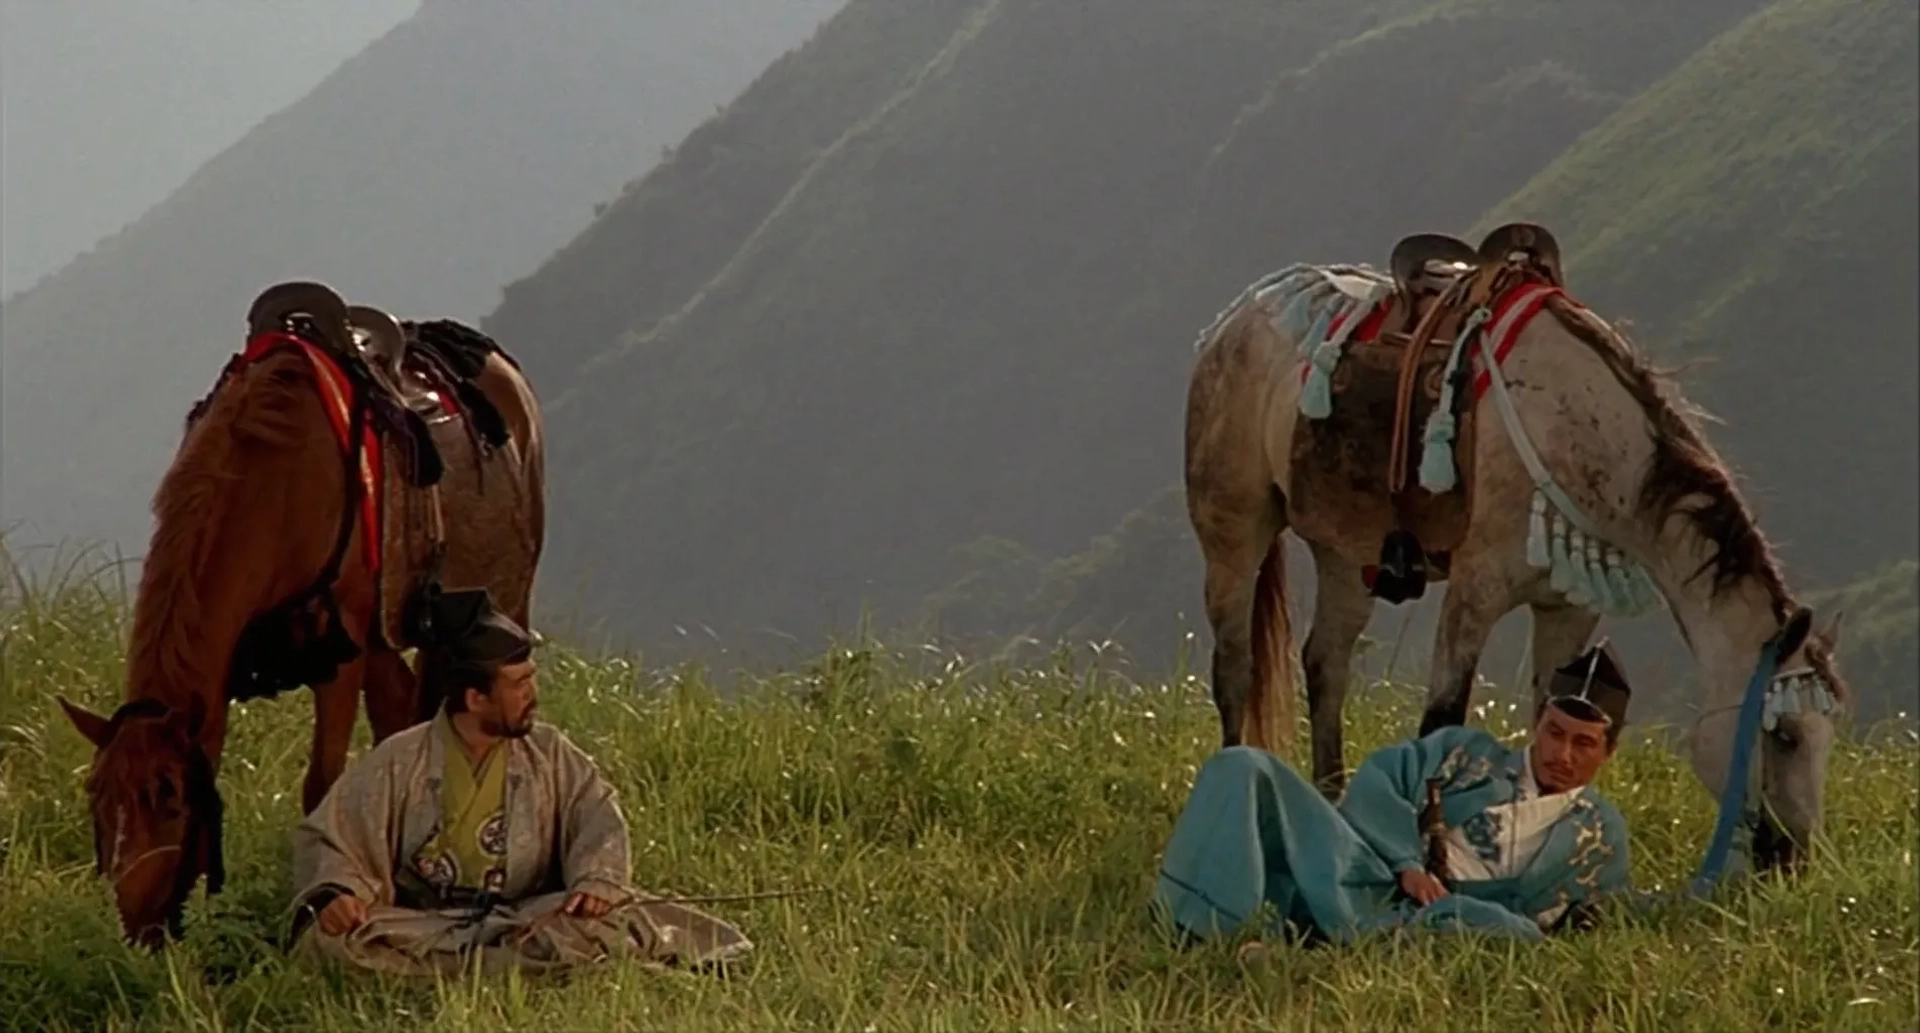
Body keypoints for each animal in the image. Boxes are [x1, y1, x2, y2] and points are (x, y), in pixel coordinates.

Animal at [61, 280, 541, 940]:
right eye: (98, 798)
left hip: (503, 597)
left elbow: (323, 785)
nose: (138, 928)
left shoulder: (340, 653)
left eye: (172, 798)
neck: (278, 483)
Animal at [1182, 222, 1843, 867]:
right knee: (1235, 667)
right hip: (1234, 530)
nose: (1794, 857)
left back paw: (1333, 806)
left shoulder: (1569, 607)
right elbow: (1441, 720)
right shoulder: (1475, 592)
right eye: (1784, 734)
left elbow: (1557, 710)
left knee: (1326, 664)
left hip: (1349, 555)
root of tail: (1241, 313)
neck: (1575, 433)